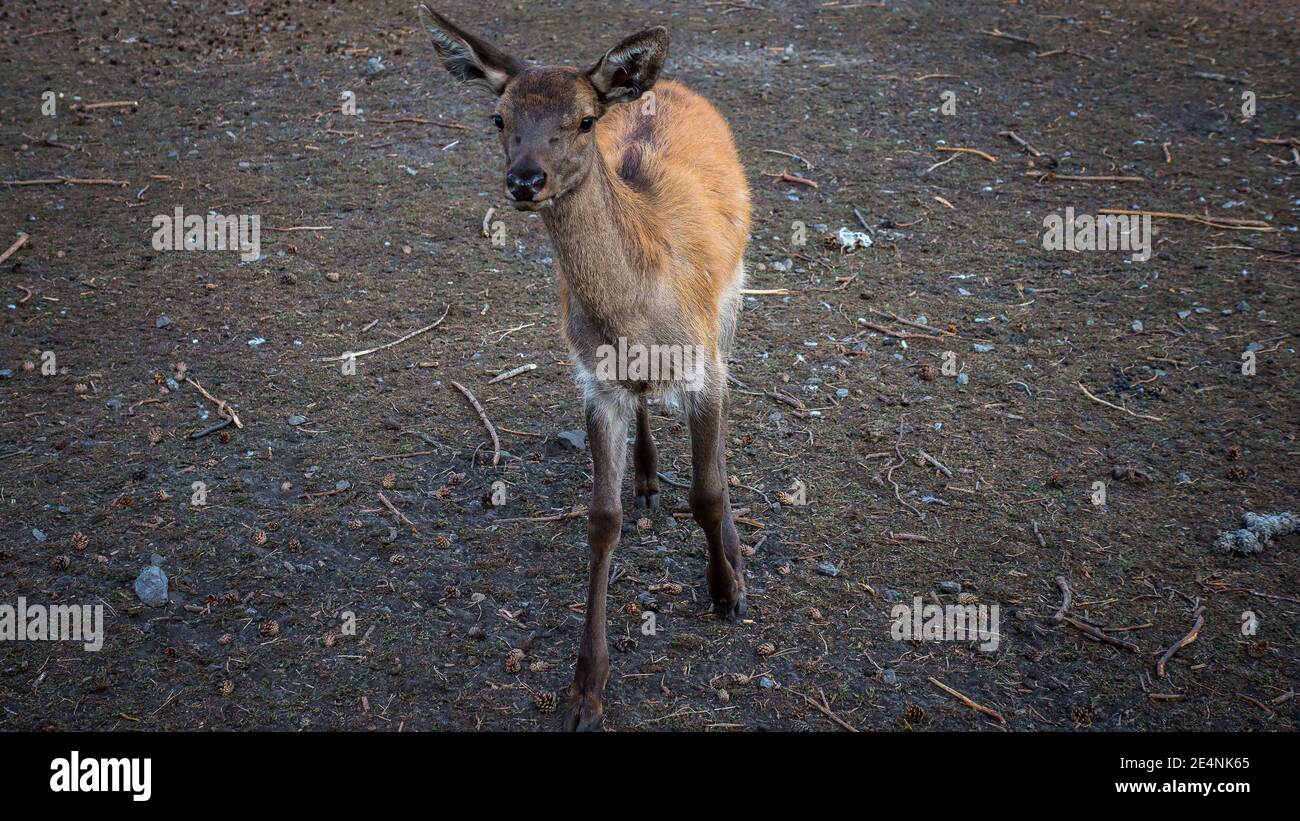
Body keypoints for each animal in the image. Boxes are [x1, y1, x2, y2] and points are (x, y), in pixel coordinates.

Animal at [421, 3, 754, 727]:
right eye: (499, 117)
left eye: (582, 119)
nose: (525, 180)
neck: (638, 311)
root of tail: (665, 85)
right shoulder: (596, 380)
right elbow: (602, 521)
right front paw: (585, 689)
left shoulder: (704, 362)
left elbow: (708, 491)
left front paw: (727, 589)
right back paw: (648, 476)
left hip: (735, 295)